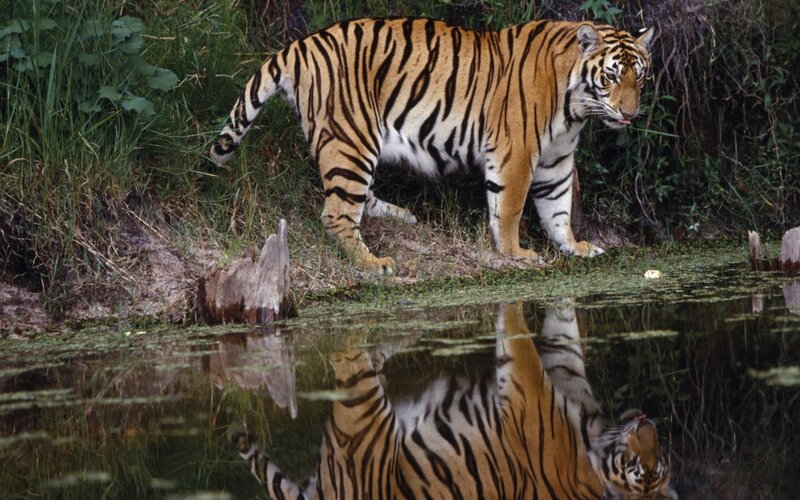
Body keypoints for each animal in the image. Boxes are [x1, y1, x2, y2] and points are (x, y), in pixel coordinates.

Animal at [210, 17, 655, 274]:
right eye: (611, 76)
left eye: (639, 77)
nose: (630, 114)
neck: (574, 107)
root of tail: (300, 45)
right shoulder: (516, 152)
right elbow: (510, 207)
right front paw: (516, 253)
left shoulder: (557, 158)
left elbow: (559, 207)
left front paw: (575, 247)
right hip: (351, 138)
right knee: (336, 213)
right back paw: (375, 263)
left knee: (356, 198)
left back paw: (400, 216)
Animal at [232, 303, 677, 499]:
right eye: (635, 465)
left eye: (659, 460)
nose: (647, 422)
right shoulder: (530, 392)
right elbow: (521, 343)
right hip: (365, 418)